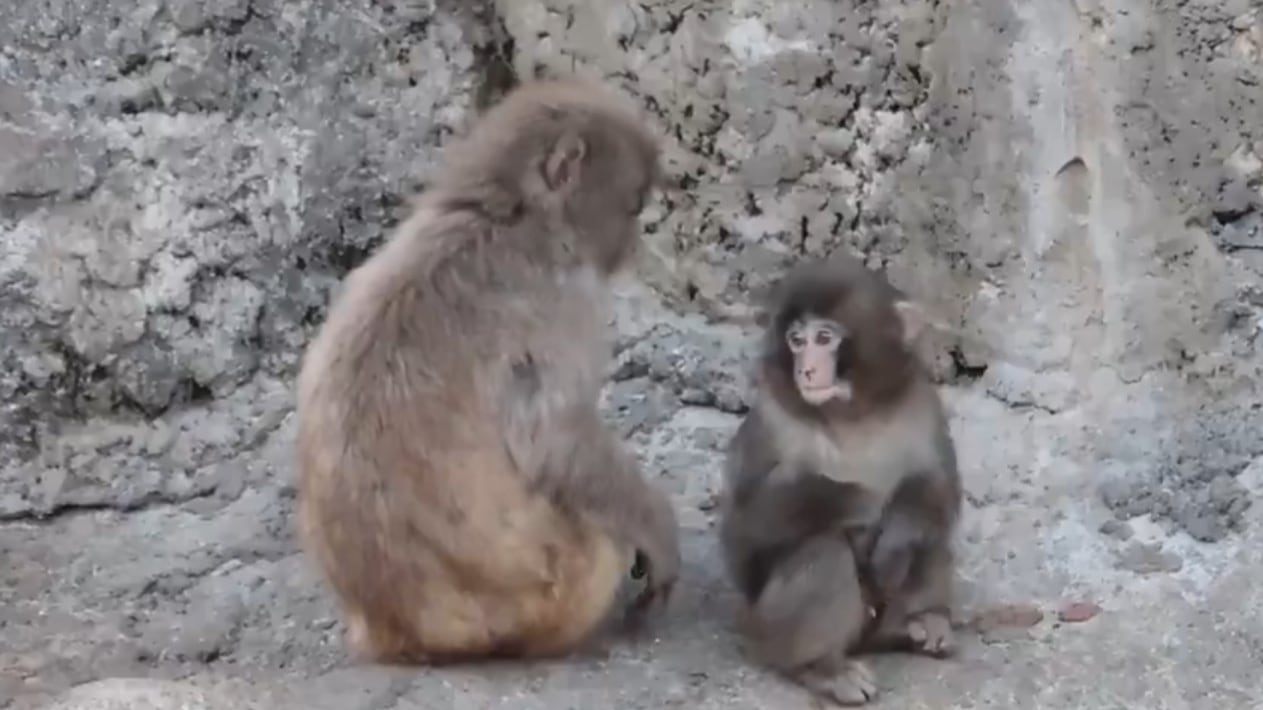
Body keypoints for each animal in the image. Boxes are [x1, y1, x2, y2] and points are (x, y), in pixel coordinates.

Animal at [293, 76, 681, 665]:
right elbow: (555, 441)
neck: (507, 214)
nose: (630, 250)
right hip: (554, 586)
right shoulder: (568, 301)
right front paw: (658, 533)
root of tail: (396, 631)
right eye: (634, 206)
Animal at [717, 254, 963, 706]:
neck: (852, 413)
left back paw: (924, 620)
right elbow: (748, 524)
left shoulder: (923, 403)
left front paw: (894, 539)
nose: (806, 369)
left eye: (824, 337)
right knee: (825, 553)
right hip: (767, 626)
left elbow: (937, 486)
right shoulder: (772, 421)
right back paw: (824, 669)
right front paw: (862, 503)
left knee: (929, 534)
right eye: (796, 341)